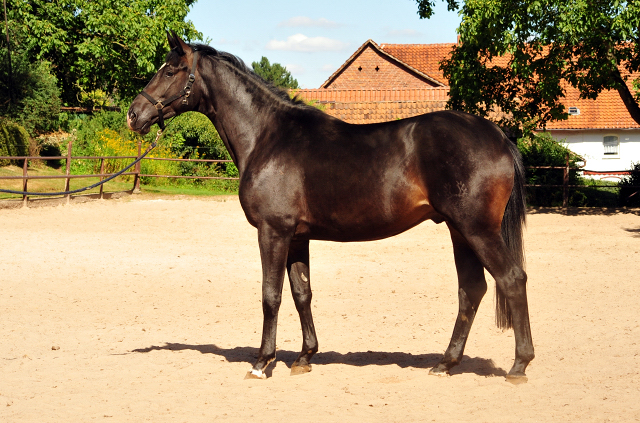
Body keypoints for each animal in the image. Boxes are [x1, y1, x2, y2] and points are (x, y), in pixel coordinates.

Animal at [126, 34, 536, 384]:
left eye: (170, 70)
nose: (134, 114)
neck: (267, 137)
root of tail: (498, 138)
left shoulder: (273, 231)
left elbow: (271, 295)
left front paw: (262, 362)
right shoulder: (296, 237)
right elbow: (301, 293)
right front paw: (304, 357)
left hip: (477, 229)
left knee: (511, 279)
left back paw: (518, 365)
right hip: (458, 230)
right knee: (472, 289)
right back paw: (445, 363)